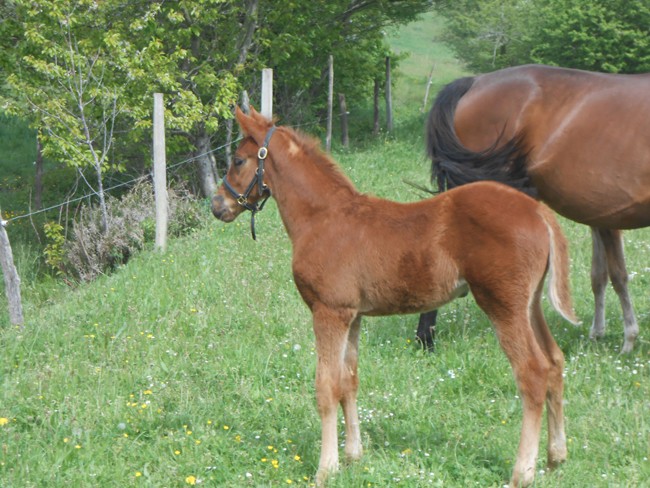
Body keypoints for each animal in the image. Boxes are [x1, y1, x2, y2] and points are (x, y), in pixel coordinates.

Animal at [210, 107, 576, 488]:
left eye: (238, 160)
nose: (217, 205)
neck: (323, 217)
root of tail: (539, 212)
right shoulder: (353, 315)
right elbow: (349, 380)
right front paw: (353, 456)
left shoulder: (329, 311)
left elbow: (326, 387)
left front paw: (326, 468)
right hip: (530, 304)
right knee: (554, 361)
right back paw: (556, 456)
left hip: (503, 305)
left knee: (532, 371)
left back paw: (523, 471)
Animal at [418, 65, 648, 354]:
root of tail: (476, 82)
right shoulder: (608, 219)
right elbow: (617, 275)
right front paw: (628, 339)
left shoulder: (600, 218)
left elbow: (599, 275)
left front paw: (599, 334)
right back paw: (427, 336)